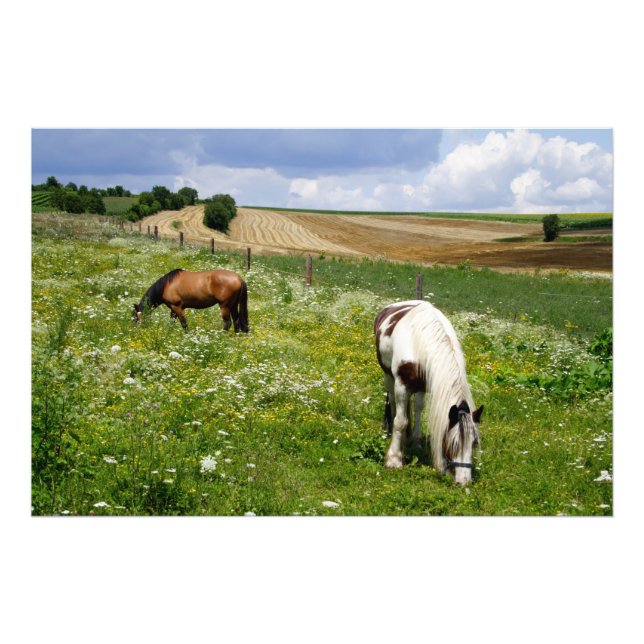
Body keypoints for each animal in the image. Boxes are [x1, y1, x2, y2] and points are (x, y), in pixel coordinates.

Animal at [374, 300, 483, 485]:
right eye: (454, 444)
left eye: (474, 443)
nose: (464, 481)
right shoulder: (401, 385)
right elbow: (400, 421)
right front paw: (394, 459)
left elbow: (417, 411)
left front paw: (415, 443)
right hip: (389, 377)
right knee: (393, 403)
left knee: (417, 408)